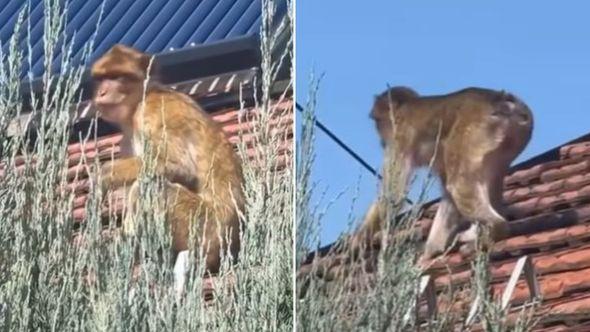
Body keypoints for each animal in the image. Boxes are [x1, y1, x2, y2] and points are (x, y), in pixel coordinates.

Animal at [89, 43, 245, 274]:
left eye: (117, 77)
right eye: (101, 78)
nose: (101, 92)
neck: (141, 99)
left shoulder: (153, 111)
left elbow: (180, 167)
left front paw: (103, 176)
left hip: (203, 226)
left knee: (150, 186)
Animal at [360, 86, 536, 262]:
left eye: (377, 122)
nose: (381, 141)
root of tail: (501, 99)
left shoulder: (400, 139)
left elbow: (393, 195)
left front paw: (358, 241)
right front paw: (431, 251)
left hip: (473, 130)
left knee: (459, 184)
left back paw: (497, 227)